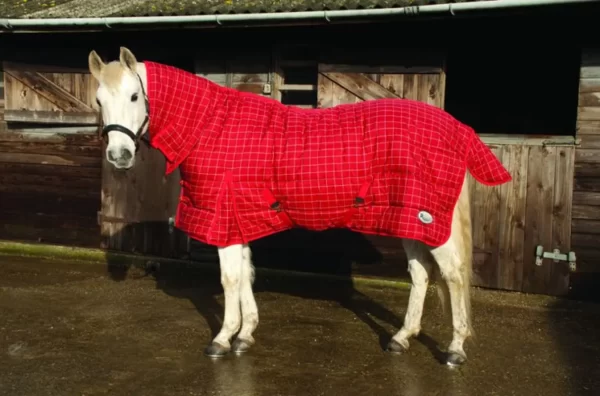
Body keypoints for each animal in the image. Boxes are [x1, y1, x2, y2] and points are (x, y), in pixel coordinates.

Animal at [89, 47, 510, 368]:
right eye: (98, 101)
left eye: (134, 96)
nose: (120, 155)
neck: (213, 128)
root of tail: (457, 130)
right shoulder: (240, 219)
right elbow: (246, 274)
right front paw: (245, 334)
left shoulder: (224, 220)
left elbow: (229, 279)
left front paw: (223, 338)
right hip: (410, 219)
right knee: (421, 274)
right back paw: (401, 337)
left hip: (432, 223)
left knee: (453, 275)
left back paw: (454, 349)